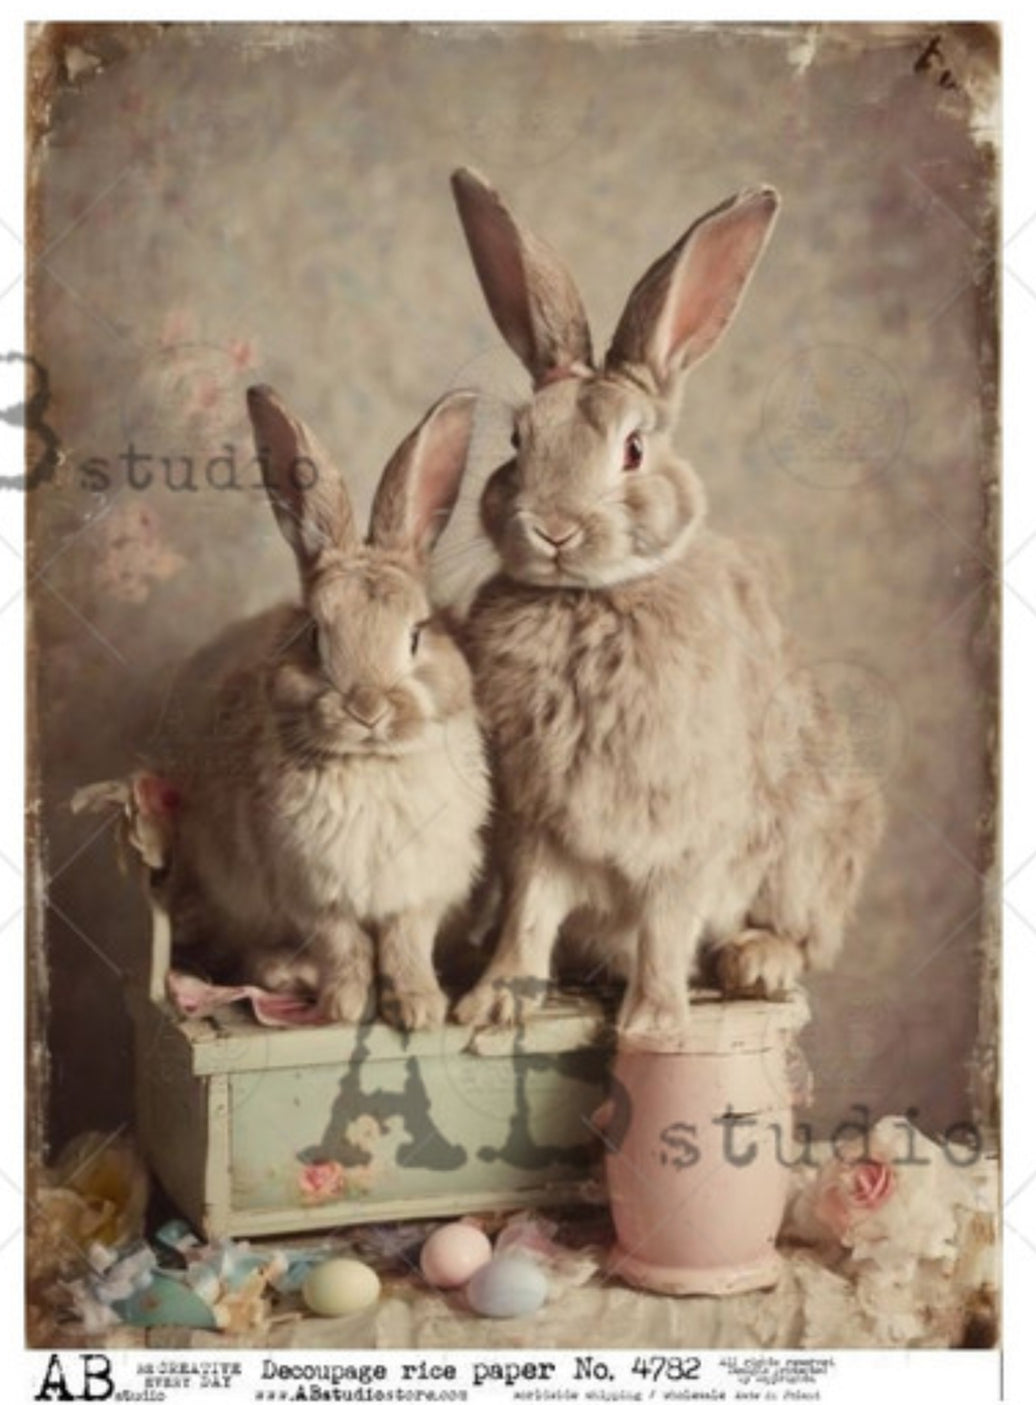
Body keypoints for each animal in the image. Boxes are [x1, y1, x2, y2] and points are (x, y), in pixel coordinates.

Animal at [157, 384, 491, 1030]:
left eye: (417, 634)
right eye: (314, 635)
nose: (367, 708)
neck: (370, 764)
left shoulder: (421, 890)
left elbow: (407, 943)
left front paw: (419, 1009)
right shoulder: (313, 894)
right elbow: (345, 946)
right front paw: (344, 1007)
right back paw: (291, 976)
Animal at [448, 168, 885, 1035]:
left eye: (633, 449)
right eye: (517, 441)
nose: (553, 527)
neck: (590, 598)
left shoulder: (684, 831)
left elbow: (665, 922)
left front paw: (655, 1023)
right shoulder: (536, 829)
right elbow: (528, 915)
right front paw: (492, 1003)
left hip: (812, 843)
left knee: (799, 933)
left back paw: (755, 961)